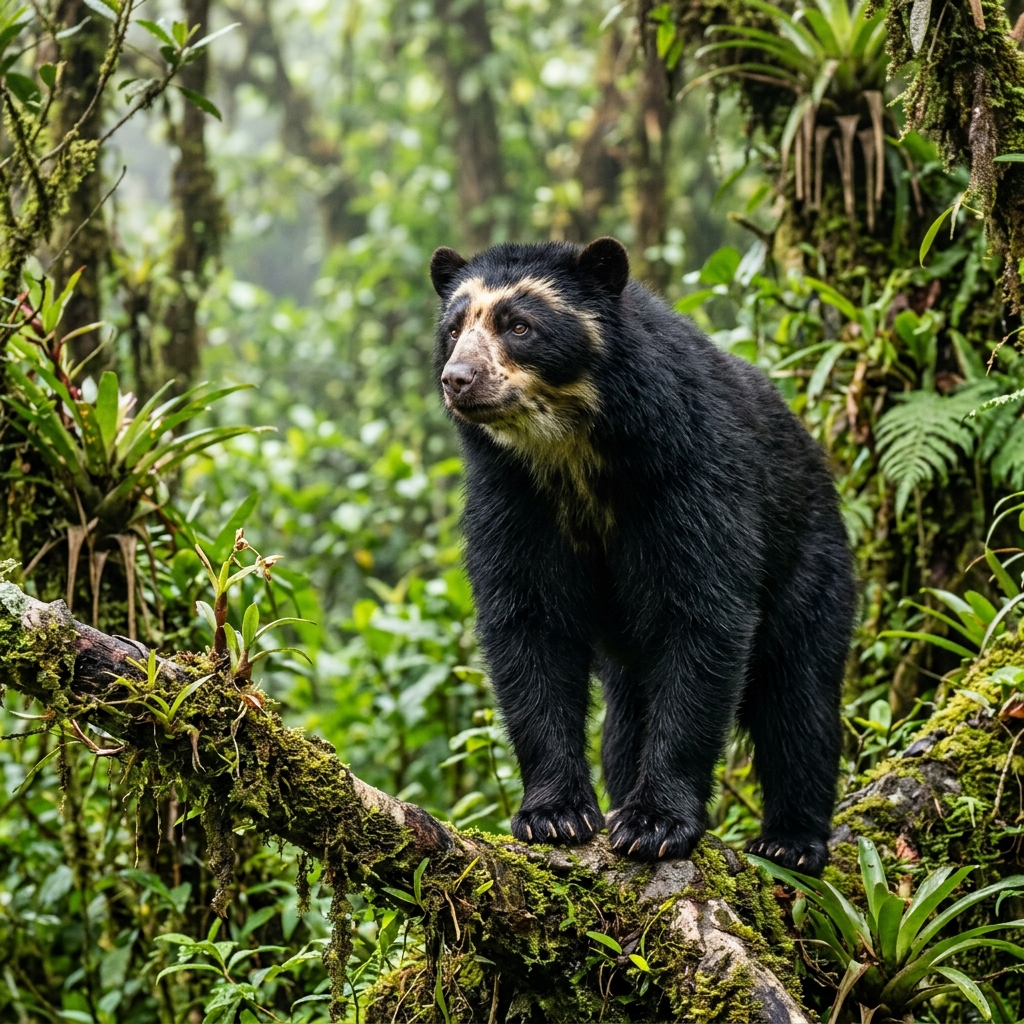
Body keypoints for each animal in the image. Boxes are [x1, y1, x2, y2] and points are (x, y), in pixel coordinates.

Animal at [429, 236, 856, 874]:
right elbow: (528, 624)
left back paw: (791, 841)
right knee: (627, 718)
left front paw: (654, 825)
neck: (574, 448)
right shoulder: (512, 494)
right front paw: (555, 815)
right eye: (454, 329)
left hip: (809, 564)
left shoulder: (690, 470)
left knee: (798, 698)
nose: (458, 378)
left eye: (520, 326)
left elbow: (702, 616)